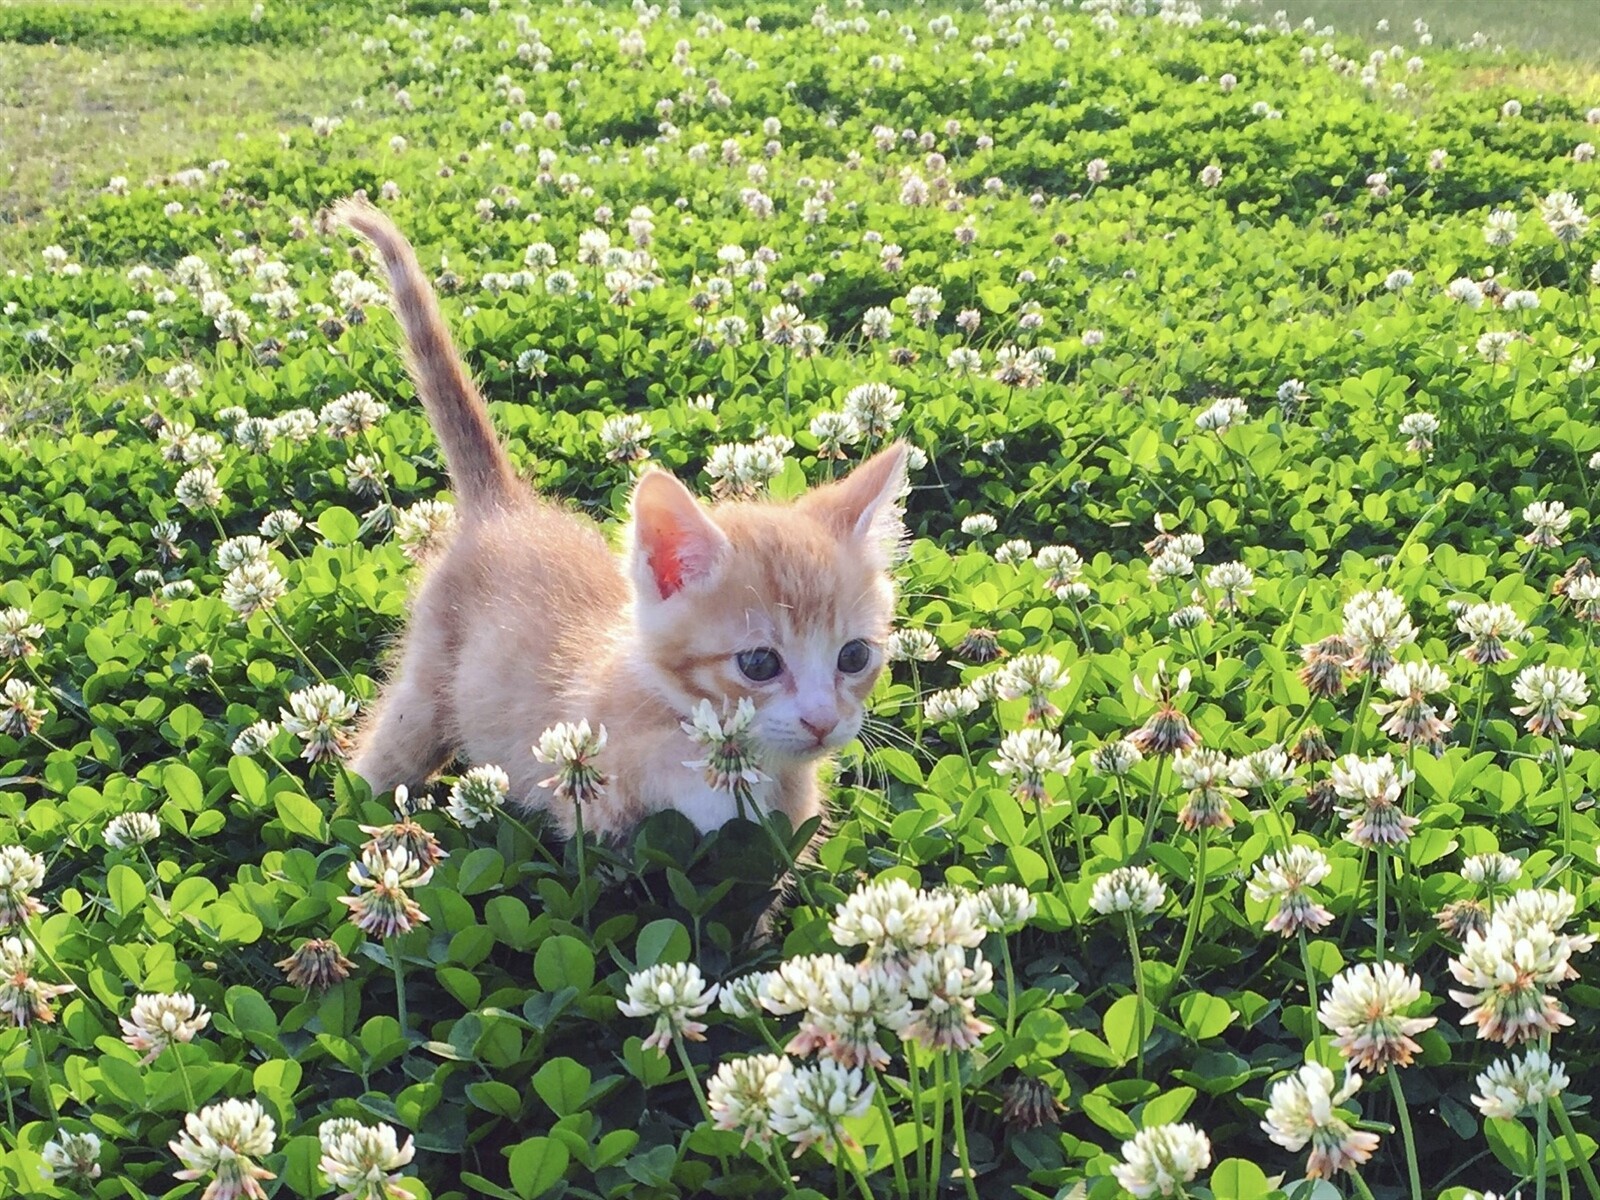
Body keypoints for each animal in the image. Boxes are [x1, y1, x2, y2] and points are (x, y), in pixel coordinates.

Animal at [334, 202, 915, 838]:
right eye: (759, 663)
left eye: (854, 656)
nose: (823, 721)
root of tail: (504, 506)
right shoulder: (593, 809)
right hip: (426, 688)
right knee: (385, 753)